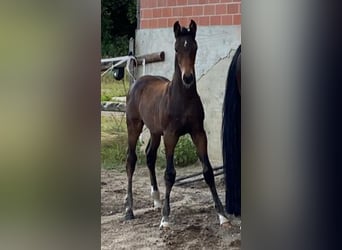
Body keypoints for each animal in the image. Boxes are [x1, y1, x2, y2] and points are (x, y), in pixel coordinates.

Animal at [124, 20, 228, 229]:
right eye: (176, 48)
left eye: (194, 47)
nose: (187, 78)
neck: (182, 98)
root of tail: (137, 82)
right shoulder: (171, 135)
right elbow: (170, 173)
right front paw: (165, 218)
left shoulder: (198, 133)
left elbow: (208, 171)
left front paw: (222, 215)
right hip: (134, 125)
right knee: (131, 160)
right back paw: (129, 210)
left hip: (155, 132)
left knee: (149, 156)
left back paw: (156, 200)